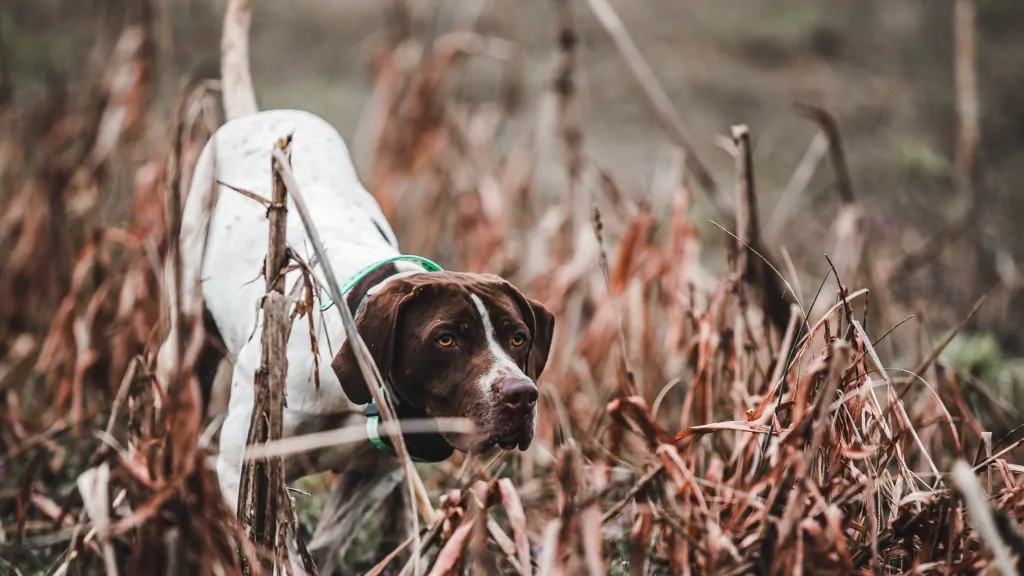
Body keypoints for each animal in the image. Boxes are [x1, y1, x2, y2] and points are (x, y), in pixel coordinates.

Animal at [165, 106, 552, 565]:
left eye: (518, 338)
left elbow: (327, 543)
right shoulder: (245, 468)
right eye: (445, 339)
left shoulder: (378, 471)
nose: (521, 395)